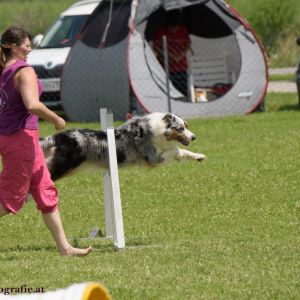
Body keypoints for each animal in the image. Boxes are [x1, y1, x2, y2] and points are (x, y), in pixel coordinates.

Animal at [40, 112, 206, 180]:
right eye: (180, 128)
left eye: (186, 126)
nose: (194, 137)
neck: (158, 129)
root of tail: (60, 136)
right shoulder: (153, 158)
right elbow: (175, 149)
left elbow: (182, 151)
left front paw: (199, 156)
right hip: (62, 165)